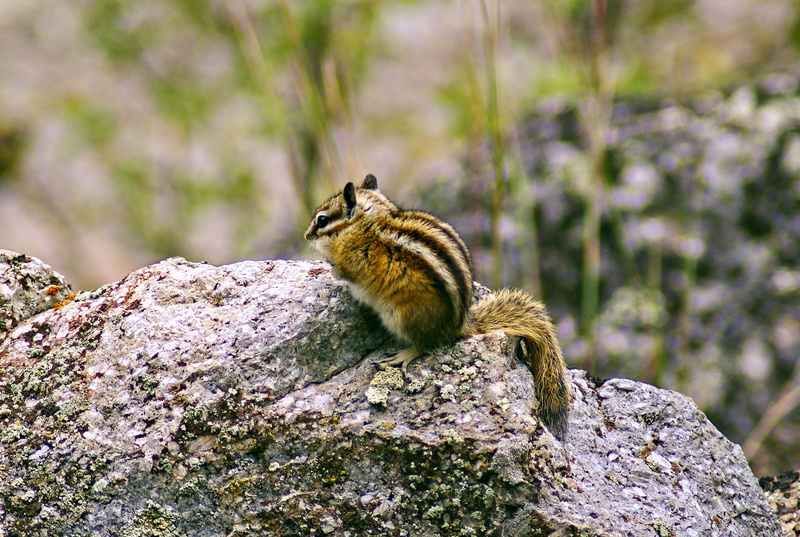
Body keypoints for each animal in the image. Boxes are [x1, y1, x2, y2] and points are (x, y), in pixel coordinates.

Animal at [304, 174, 571, 438]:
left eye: (322, 220)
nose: (307, 236)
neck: (366, 224)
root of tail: (457, 327)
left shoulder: (350, 261)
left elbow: (342, 272)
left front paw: (330, 270)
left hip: (402, 317)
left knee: (425, 345)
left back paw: (400, 356)